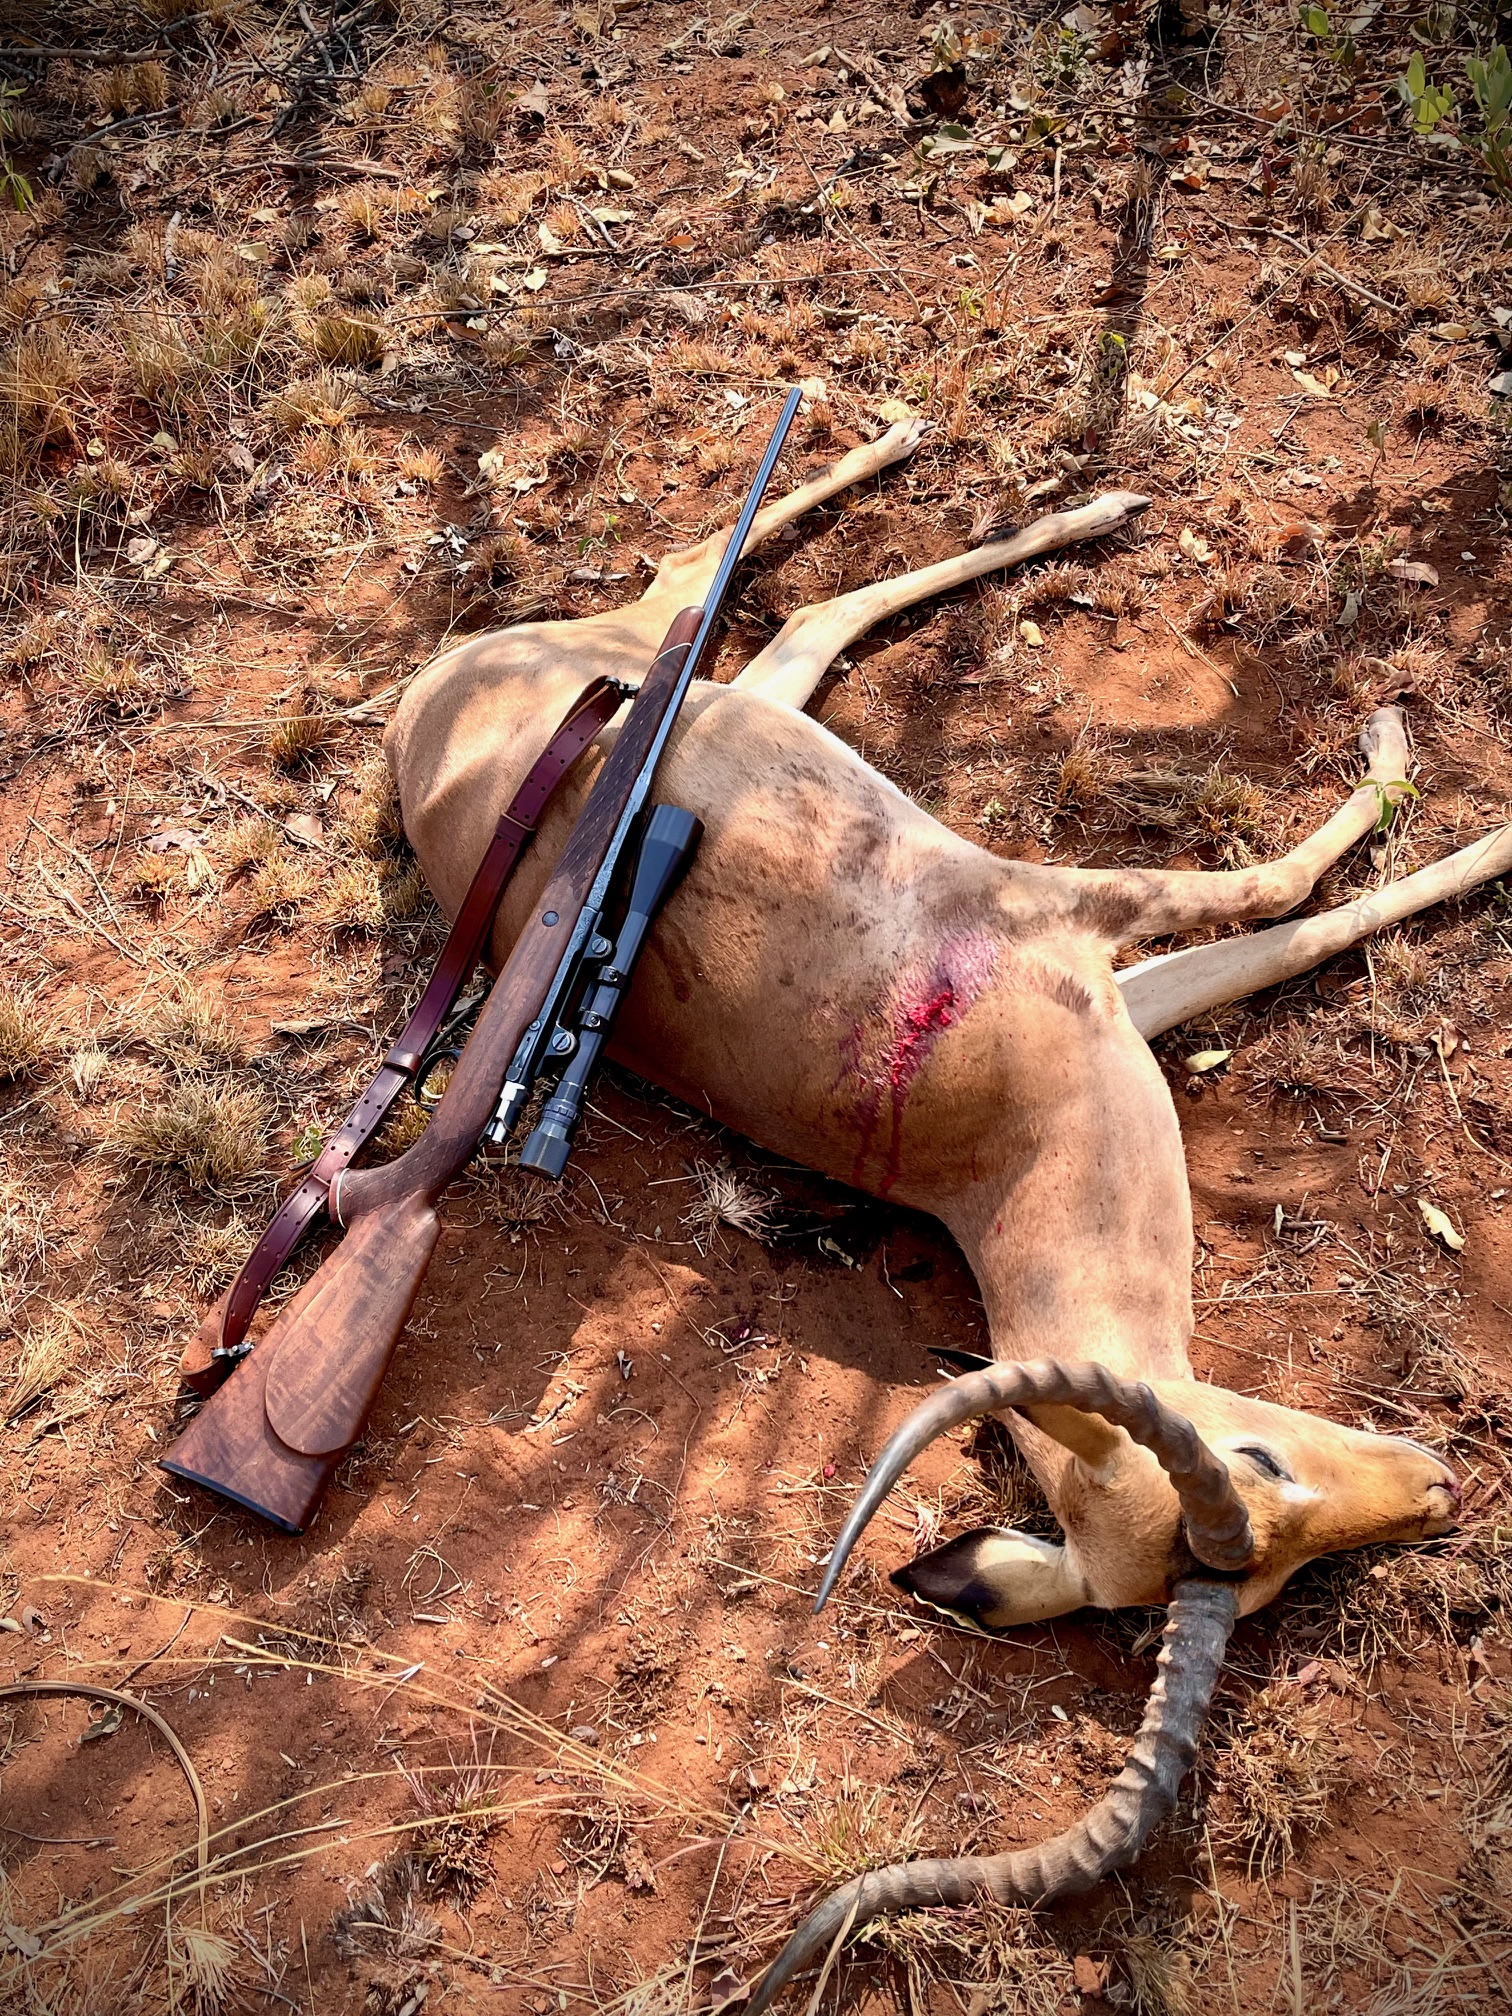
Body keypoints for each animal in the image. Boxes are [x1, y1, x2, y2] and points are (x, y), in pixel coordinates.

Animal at [386, 420, 1500, 2005]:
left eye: (1276, 1595)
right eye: (1255, 1477)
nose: (1441, 1486)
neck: (1003, 1140)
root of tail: (429, 705)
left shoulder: (1129, 997)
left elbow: (1308, 924)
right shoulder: (1087, 912)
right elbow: (1291, 880)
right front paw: (1430, 775)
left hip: (743, 681)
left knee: (788, 598)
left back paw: (1019, 472)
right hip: (700, 661)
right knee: (742, 580)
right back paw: (1036, 477)